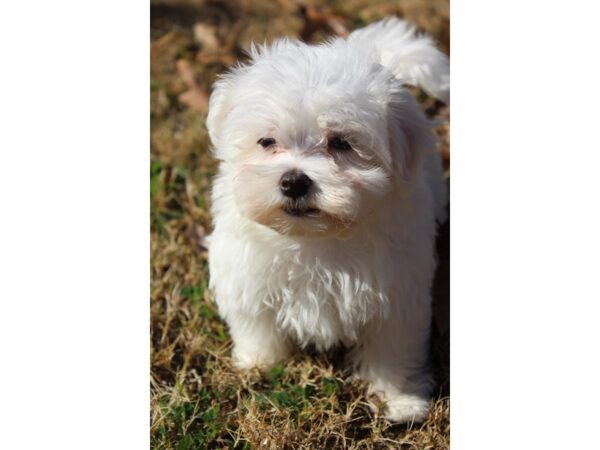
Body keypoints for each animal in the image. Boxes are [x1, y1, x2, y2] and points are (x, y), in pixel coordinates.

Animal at [207, 16, 450, 422]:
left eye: (341, 144)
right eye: (266, 142)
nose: (293, 181)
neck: (314, 238)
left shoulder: (396, 295)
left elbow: (393, 349)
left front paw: (400, 400)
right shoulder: (247, 276)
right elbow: (255, 323)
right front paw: (258, 362)